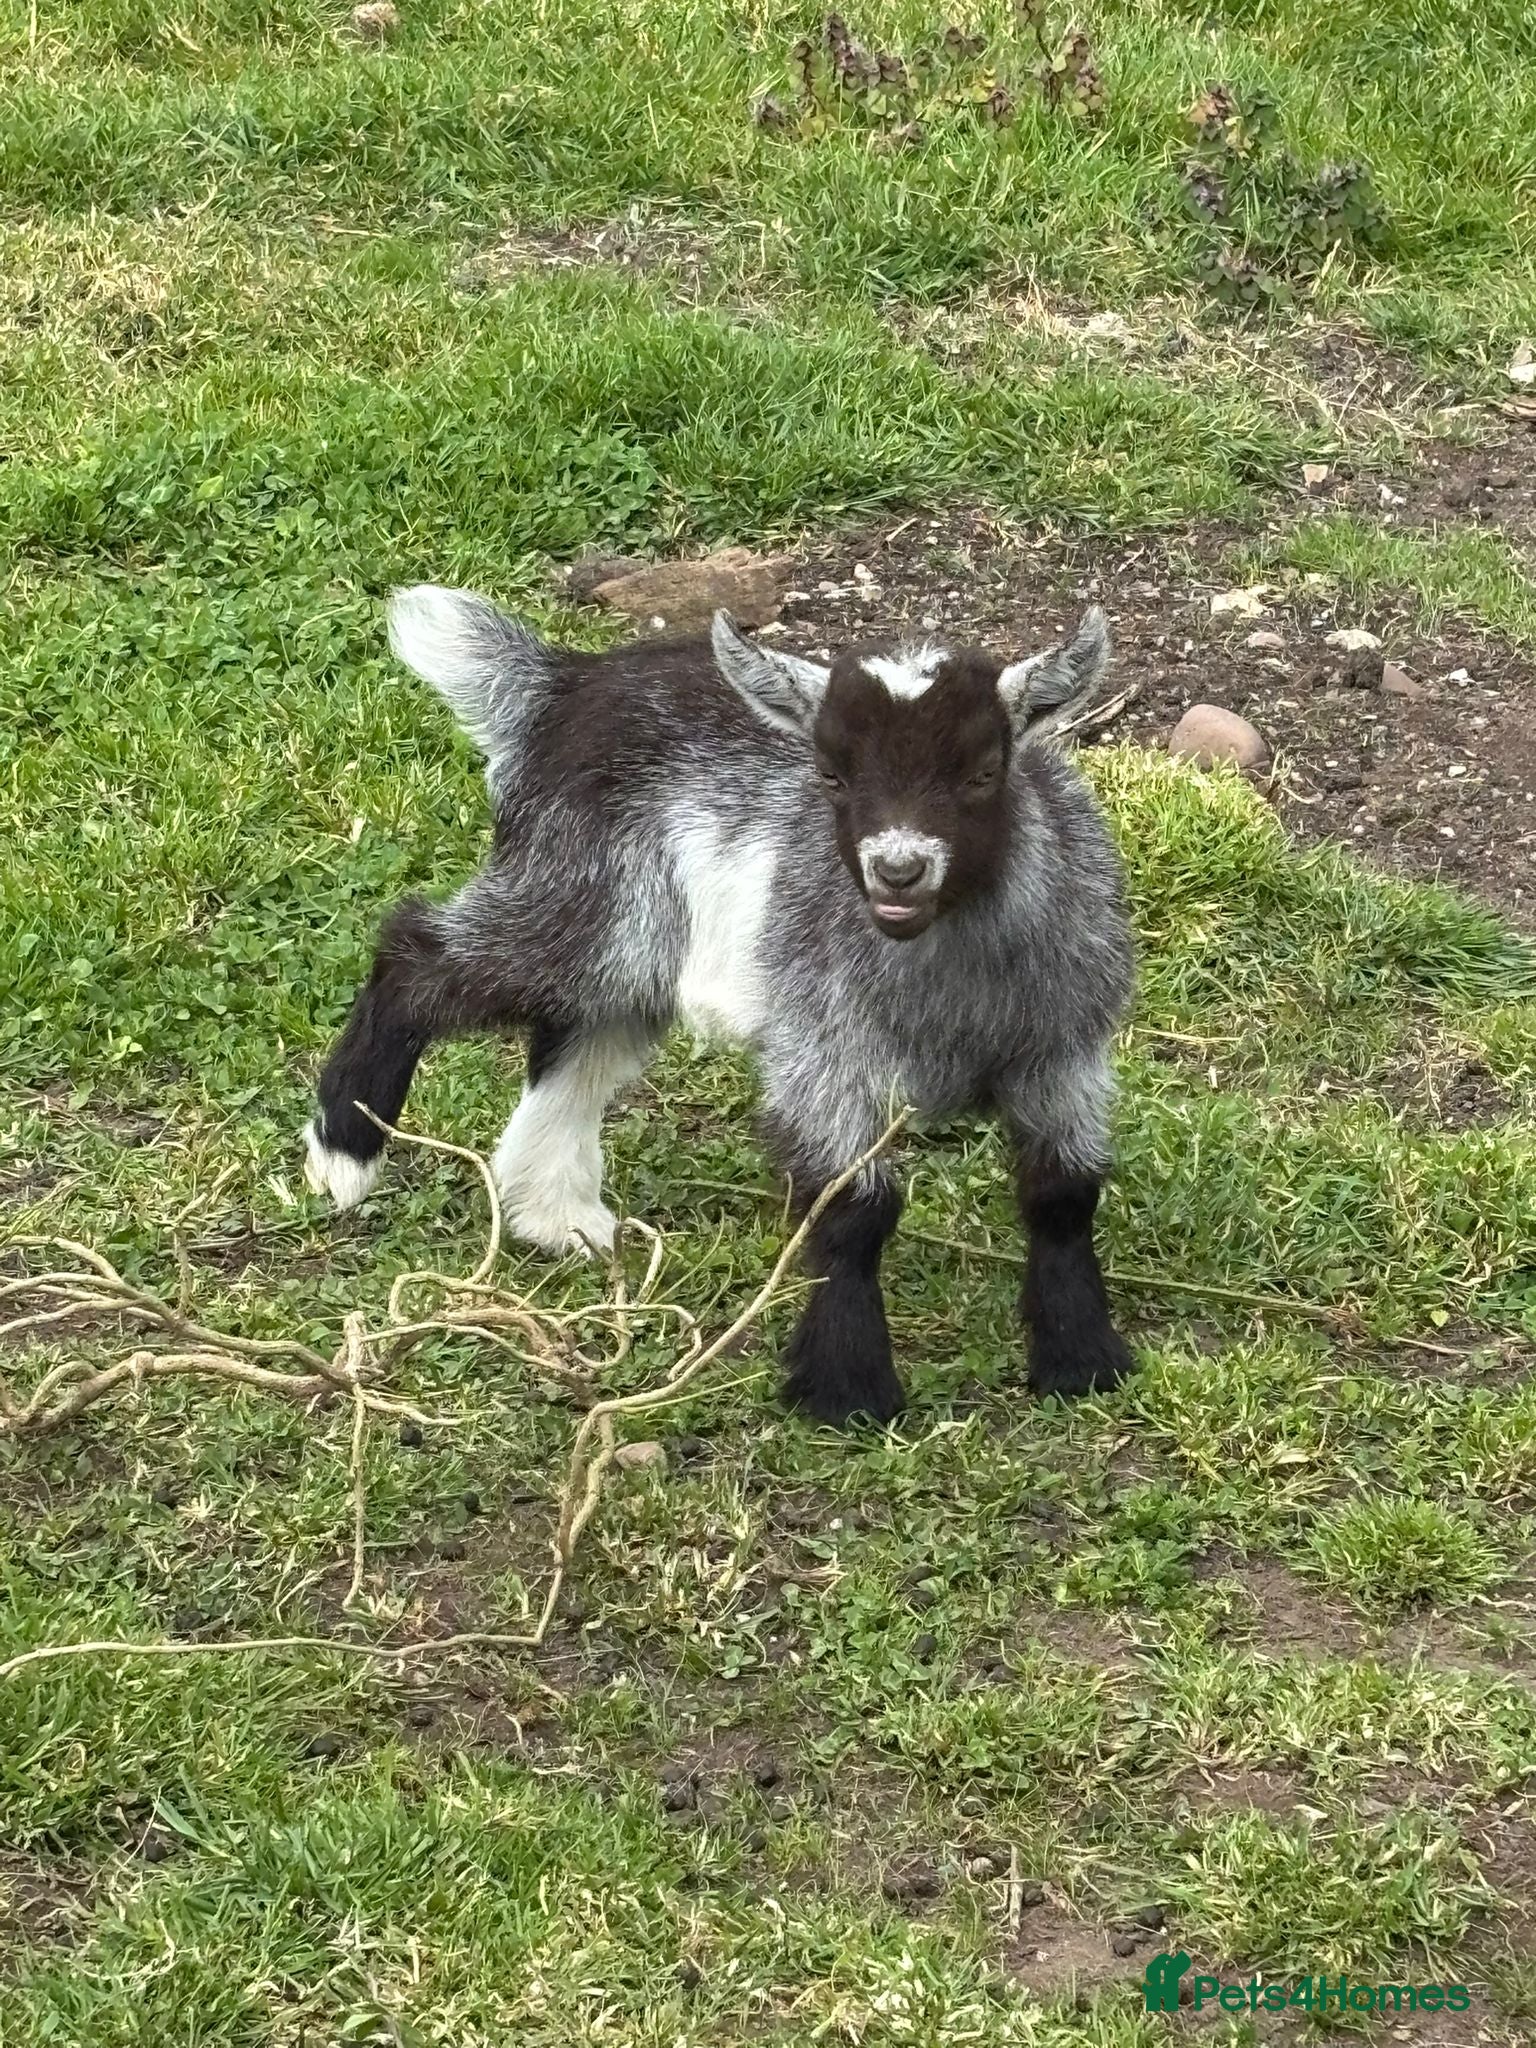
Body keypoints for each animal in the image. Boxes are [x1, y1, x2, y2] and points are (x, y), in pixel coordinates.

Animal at [304, 587, 1136, 1426]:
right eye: (831, 774)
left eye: (984, 771)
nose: (898, 870)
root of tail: (560, 686)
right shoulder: (822, 1048)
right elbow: (853, 1208)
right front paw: (847, 1387)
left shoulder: (1064, 1050)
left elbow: (1062, 1192)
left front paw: (1082, 1358)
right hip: (578, 901)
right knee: (419, 954)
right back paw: (345, 1151)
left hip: (628, 950)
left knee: (575, 1046)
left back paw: (556, 1215)